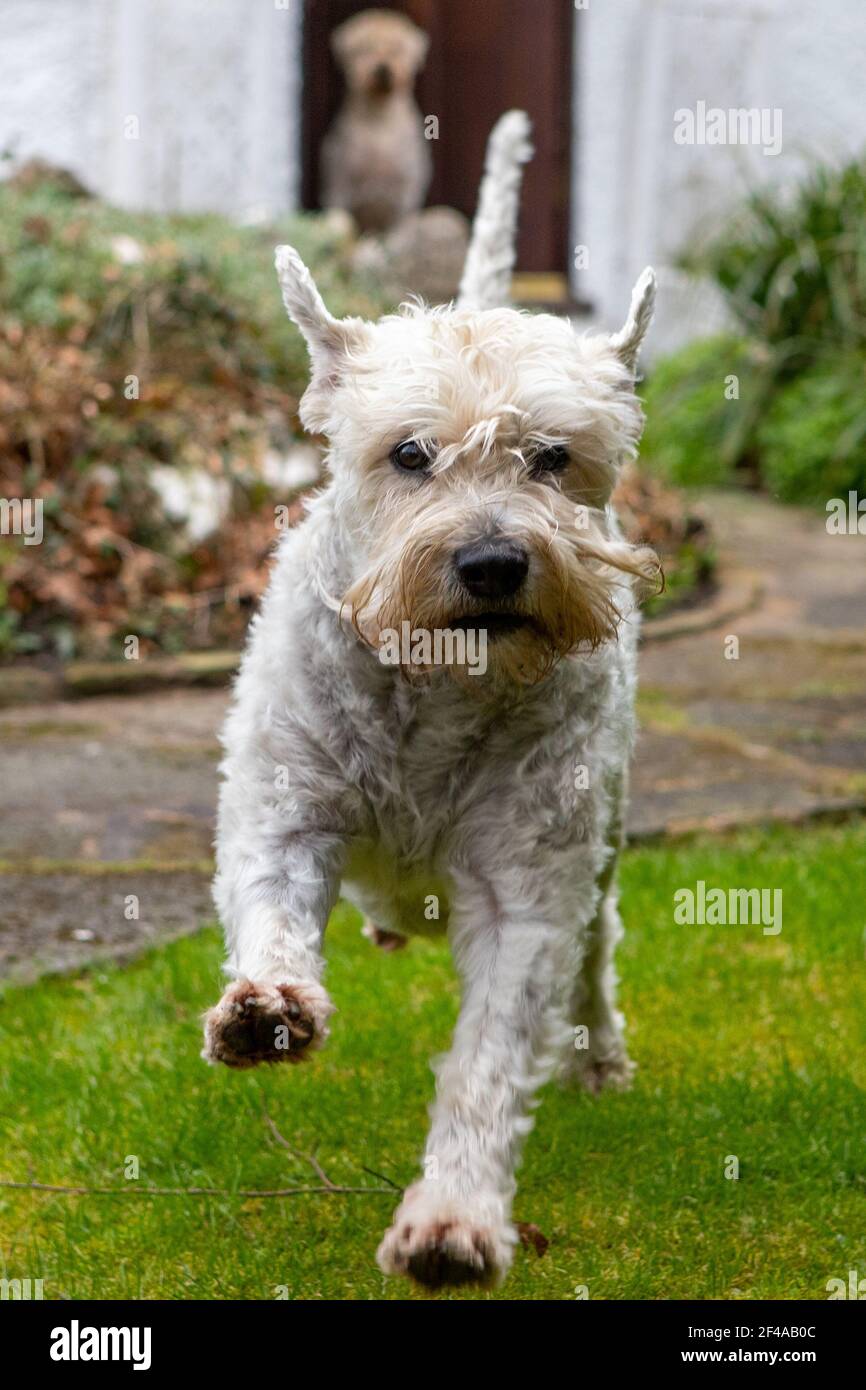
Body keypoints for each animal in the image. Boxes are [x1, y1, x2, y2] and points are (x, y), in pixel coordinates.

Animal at [319, 8, 430, 230]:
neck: (380, 118)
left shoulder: (406, 192)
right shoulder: (339, 186)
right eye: (364, 49)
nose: (383, 69)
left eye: (398, 48)